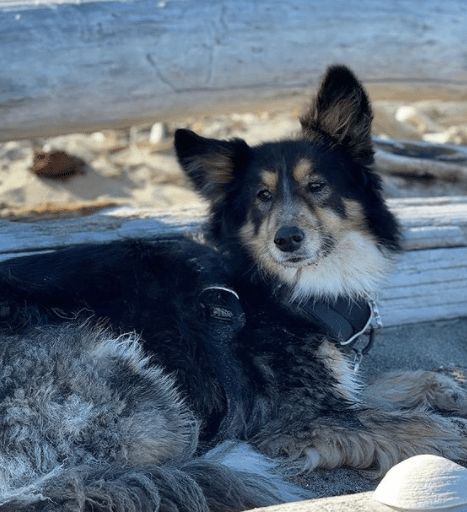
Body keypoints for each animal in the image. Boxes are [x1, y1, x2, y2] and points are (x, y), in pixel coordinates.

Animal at [1, 65, 467, 512]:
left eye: (317, 186)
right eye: (262, 195)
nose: (287, 239)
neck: (283, 288)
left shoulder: (330, 388)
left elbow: (380, 384)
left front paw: (448, 388)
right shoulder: (301, 419)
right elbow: (417, 423)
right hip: (140, 387)